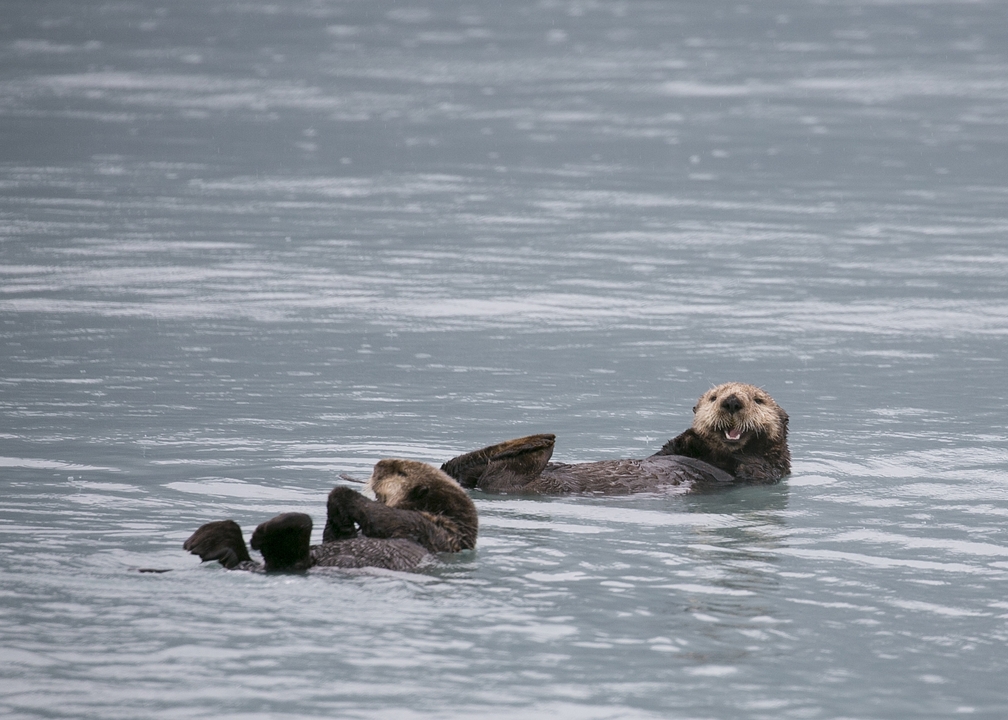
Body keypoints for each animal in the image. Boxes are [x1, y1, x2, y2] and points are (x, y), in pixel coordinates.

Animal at [183, 459, 478, 573]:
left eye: (401, 472)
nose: (378, 464)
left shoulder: (429, 528)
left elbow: (386, 517)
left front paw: (342, 495)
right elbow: (339, 536)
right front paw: (341, 520)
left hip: (294, 558)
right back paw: (211, 540)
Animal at [440, 382, 789, 495]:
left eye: (758, 400)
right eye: (714, 397)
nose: (731, 401)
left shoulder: (761, 470)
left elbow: (747, 465)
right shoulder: (673, 449)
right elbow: (671, 447)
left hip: (520, 482)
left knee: (499, 476)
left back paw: (539, 441)